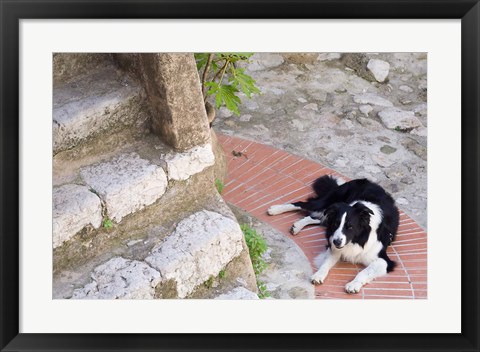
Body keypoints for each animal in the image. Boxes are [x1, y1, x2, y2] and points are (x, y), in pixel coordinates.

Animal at [268, 175, 400, 292]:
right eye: (337, 224)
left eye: (350, 227)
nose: (336, 241)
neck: (357, 239)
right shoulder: (333, 245)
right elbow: (326, 263)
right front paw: (319, 275)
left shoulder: (383, 261)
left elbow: (364, 272)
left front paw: (353, 284)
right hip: (327, 203)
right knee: (303, 205)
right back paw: (275, 209)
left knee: (317, 218)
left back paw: (297, 225)